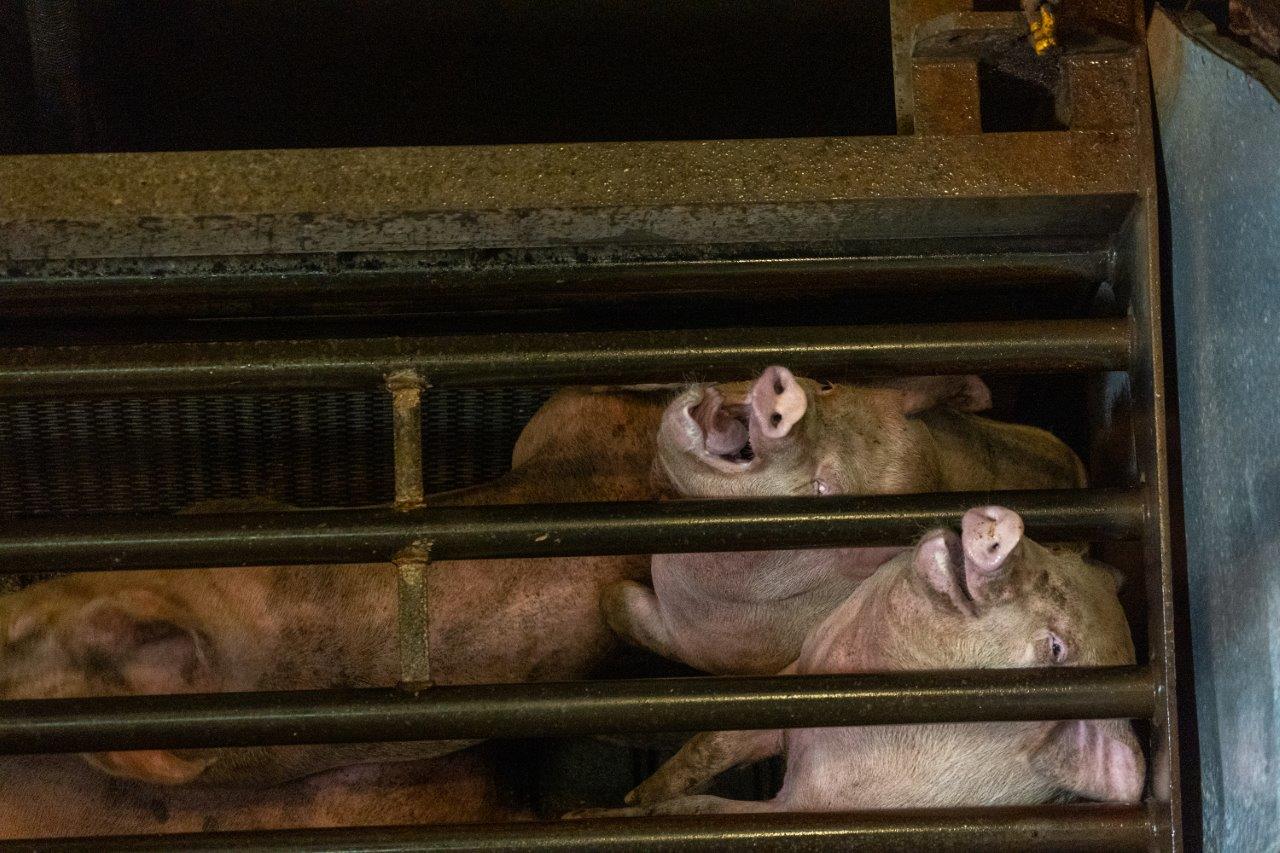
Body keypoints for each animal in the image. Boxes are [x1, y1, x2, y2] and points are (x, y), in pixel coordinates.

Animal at [576, 507, 1146, 814]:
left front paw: (597, 815)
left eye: (1056, 649)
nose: (1005, 524)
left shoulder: (817, 808)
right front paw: (634, 797)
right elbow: (711, 743)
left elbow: (712, 811)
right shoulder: (794, 676)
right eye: (1054, 554)